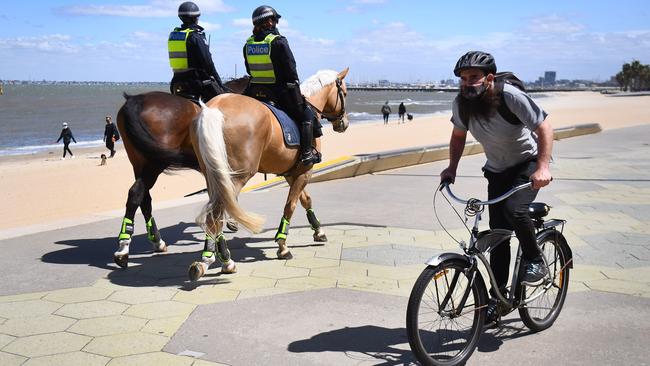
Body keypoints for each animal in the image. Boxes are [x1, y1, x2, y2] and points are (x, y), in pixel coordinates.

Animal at [187, 68, 350, 280]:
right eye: (344, 93)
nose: (344, 123)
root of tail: (213, 108)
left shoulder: (292, 172)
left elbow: (306, 200)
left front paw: (318, 230)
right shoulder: (305, 171)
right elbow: (291, 205)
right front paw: (283, 245)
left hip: (213, 175)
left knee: (214, 215)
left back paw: (214, 259)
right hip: (235, 178)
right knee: (216, 215)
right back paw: (218, 260)